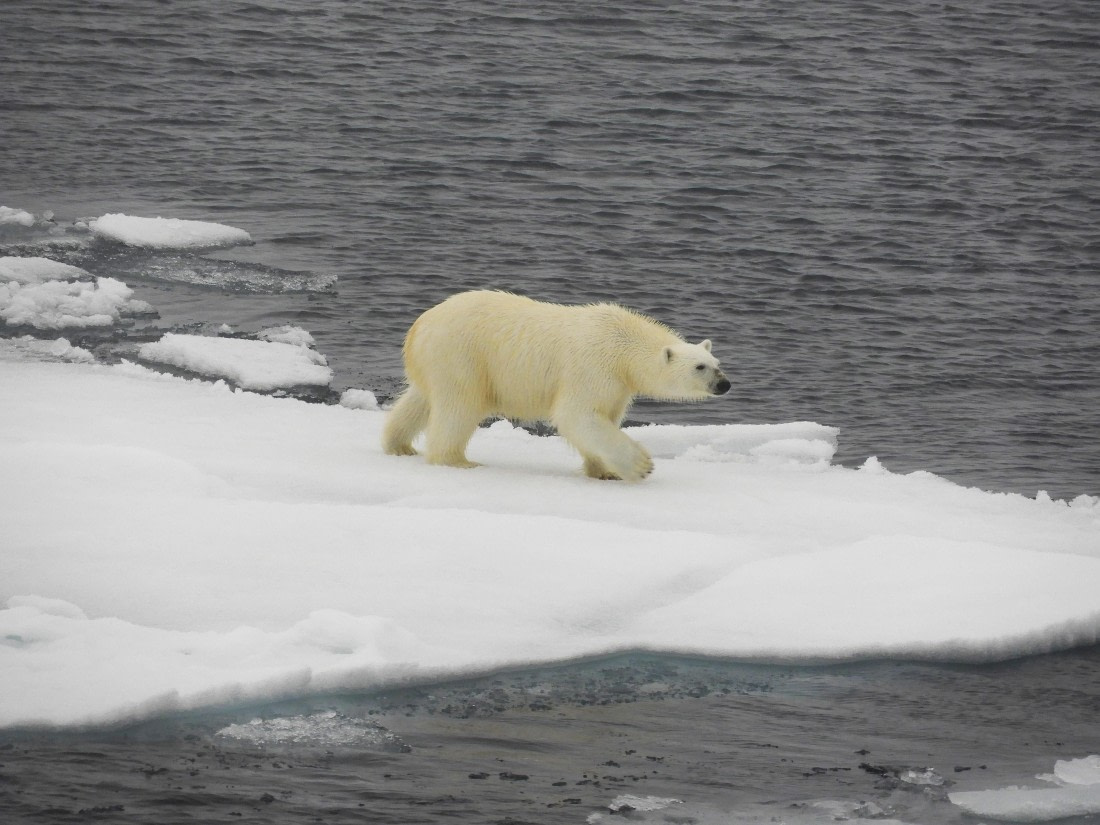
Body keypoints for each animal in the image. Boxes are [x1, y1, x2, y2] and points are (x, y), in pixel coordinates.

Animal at [381, 290, 730, 481]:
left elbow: (604, 417)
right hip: (463, 356)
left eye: (717, 363)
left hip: (437, 362)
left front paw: (604, 471)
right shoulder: (593, 367)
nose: (725, 384)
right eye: (700, 367)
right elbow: (577, 414)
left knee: (420, 400)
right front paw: (640, 466)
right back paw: (457, 460)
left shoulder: (618, 385)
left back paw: (399, 444)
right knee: (459, 407)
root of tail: (418, 327)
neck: (623, 345)